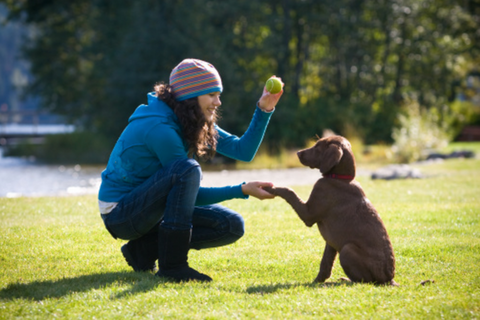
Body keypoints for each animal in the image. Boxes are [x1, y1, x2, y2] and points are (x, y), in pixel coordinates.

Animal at [262, 134, 398, 284]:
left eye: (317, 147)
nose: (297, 153)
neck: (340, 178)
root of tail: (389, 279)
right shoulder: (331, 242)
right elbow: (326, 263)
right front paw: (318, 281)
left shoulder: (308, 214)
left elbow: (289, 191)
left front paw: (270, 188)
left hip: (347, 249)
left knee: (364, 281)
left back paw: (347, 280)